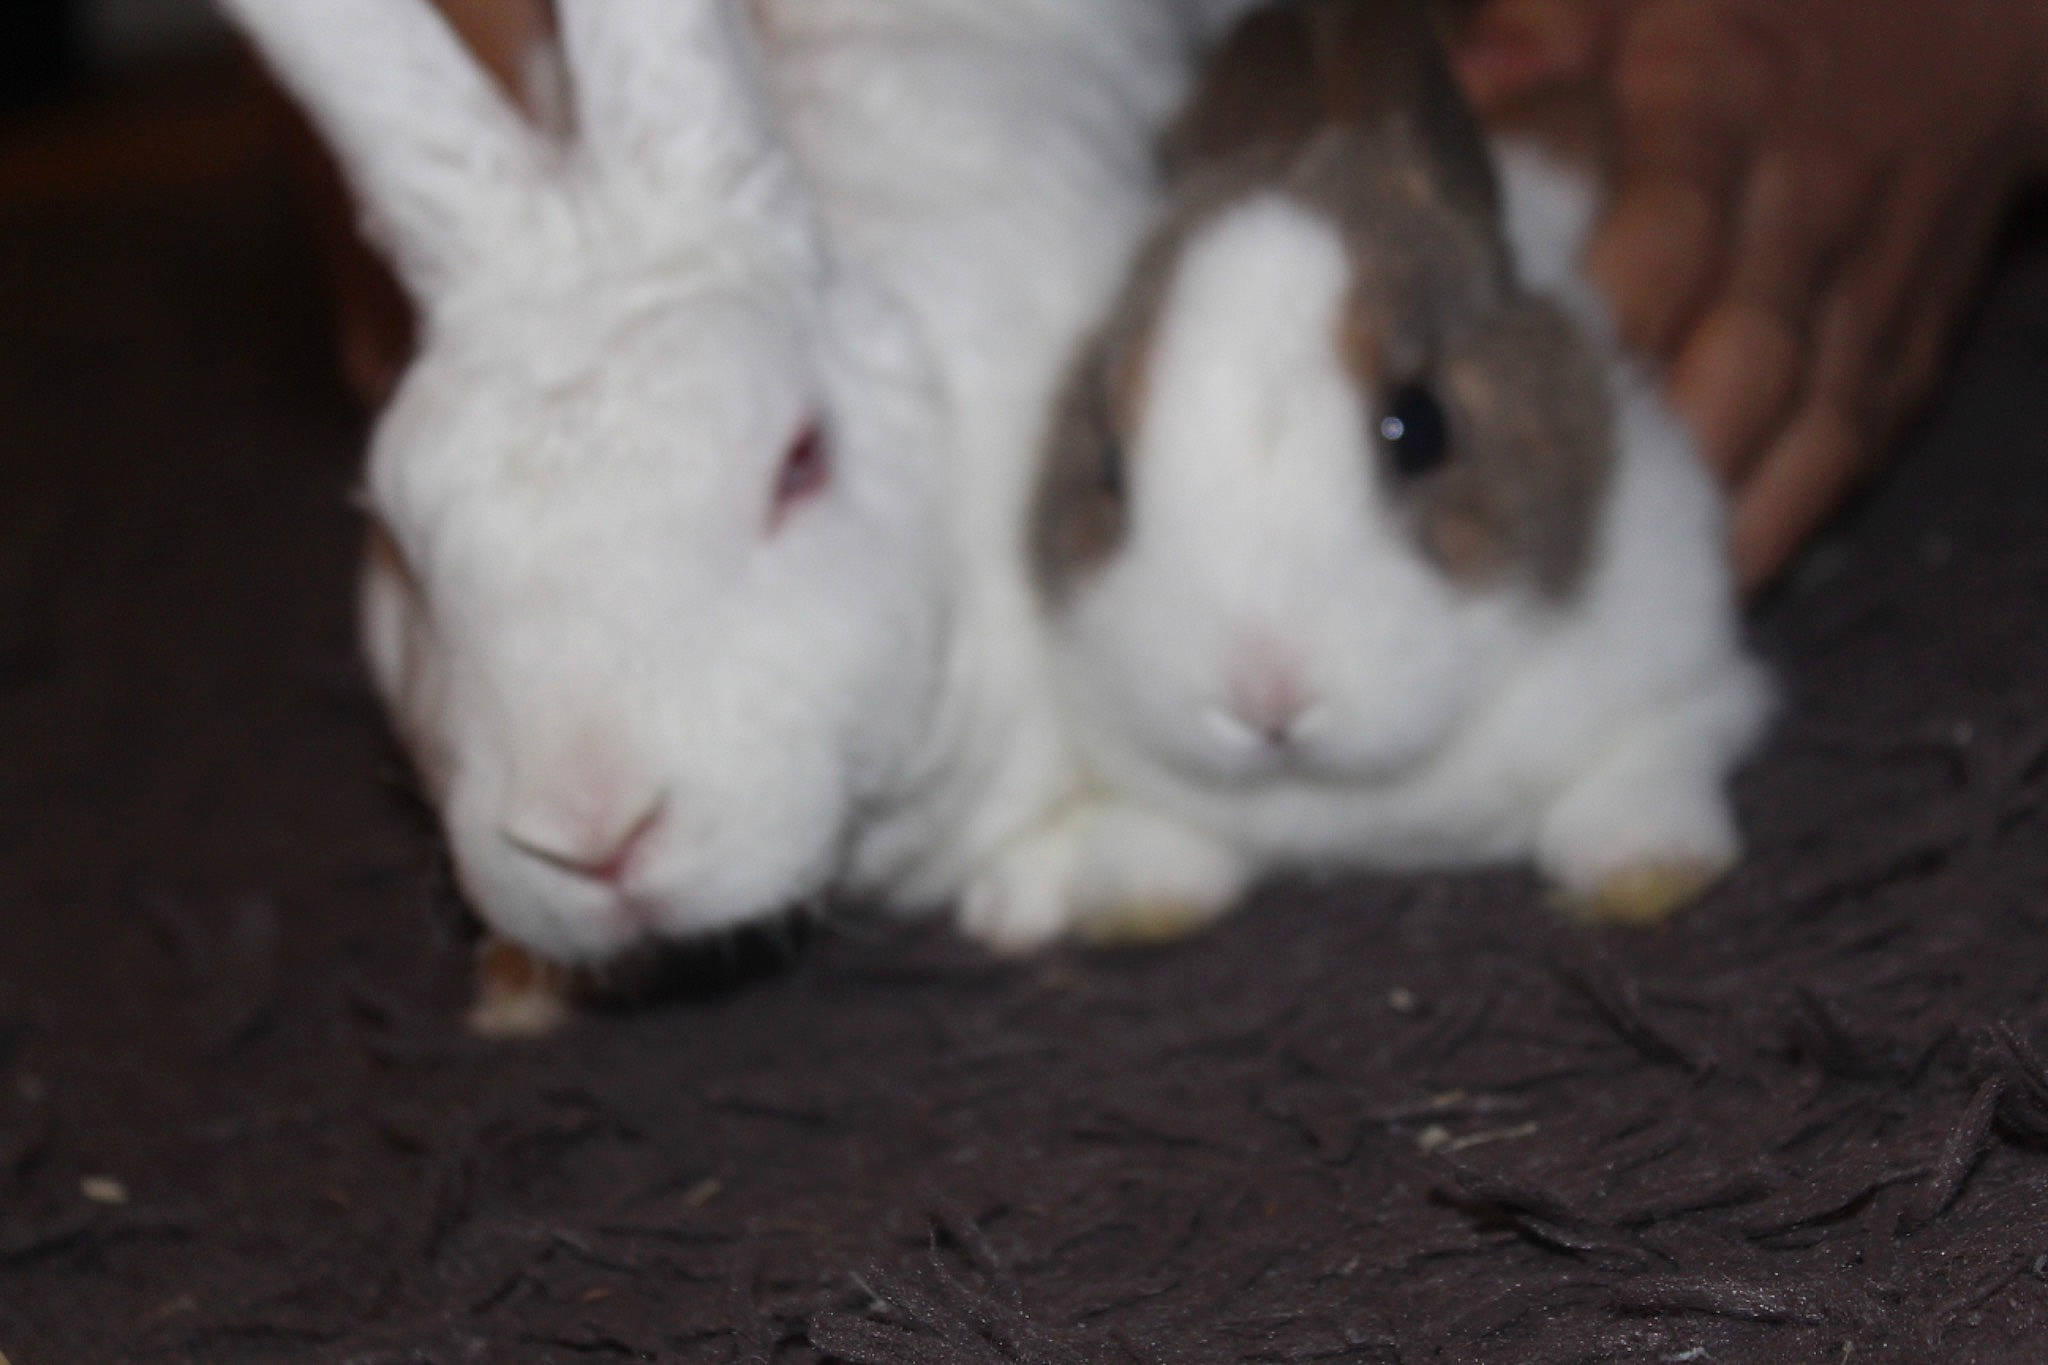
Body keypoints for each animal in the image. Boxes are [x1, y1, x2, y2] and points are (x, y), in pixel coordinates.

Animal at [982, 0, 1774, 947]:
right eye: (1109, 466)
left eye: (1420, 429)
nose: (1265, 697)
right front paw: (1131, 896)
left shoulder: (1694, 682)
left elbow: (1647, 764)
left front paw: (1644, 872)